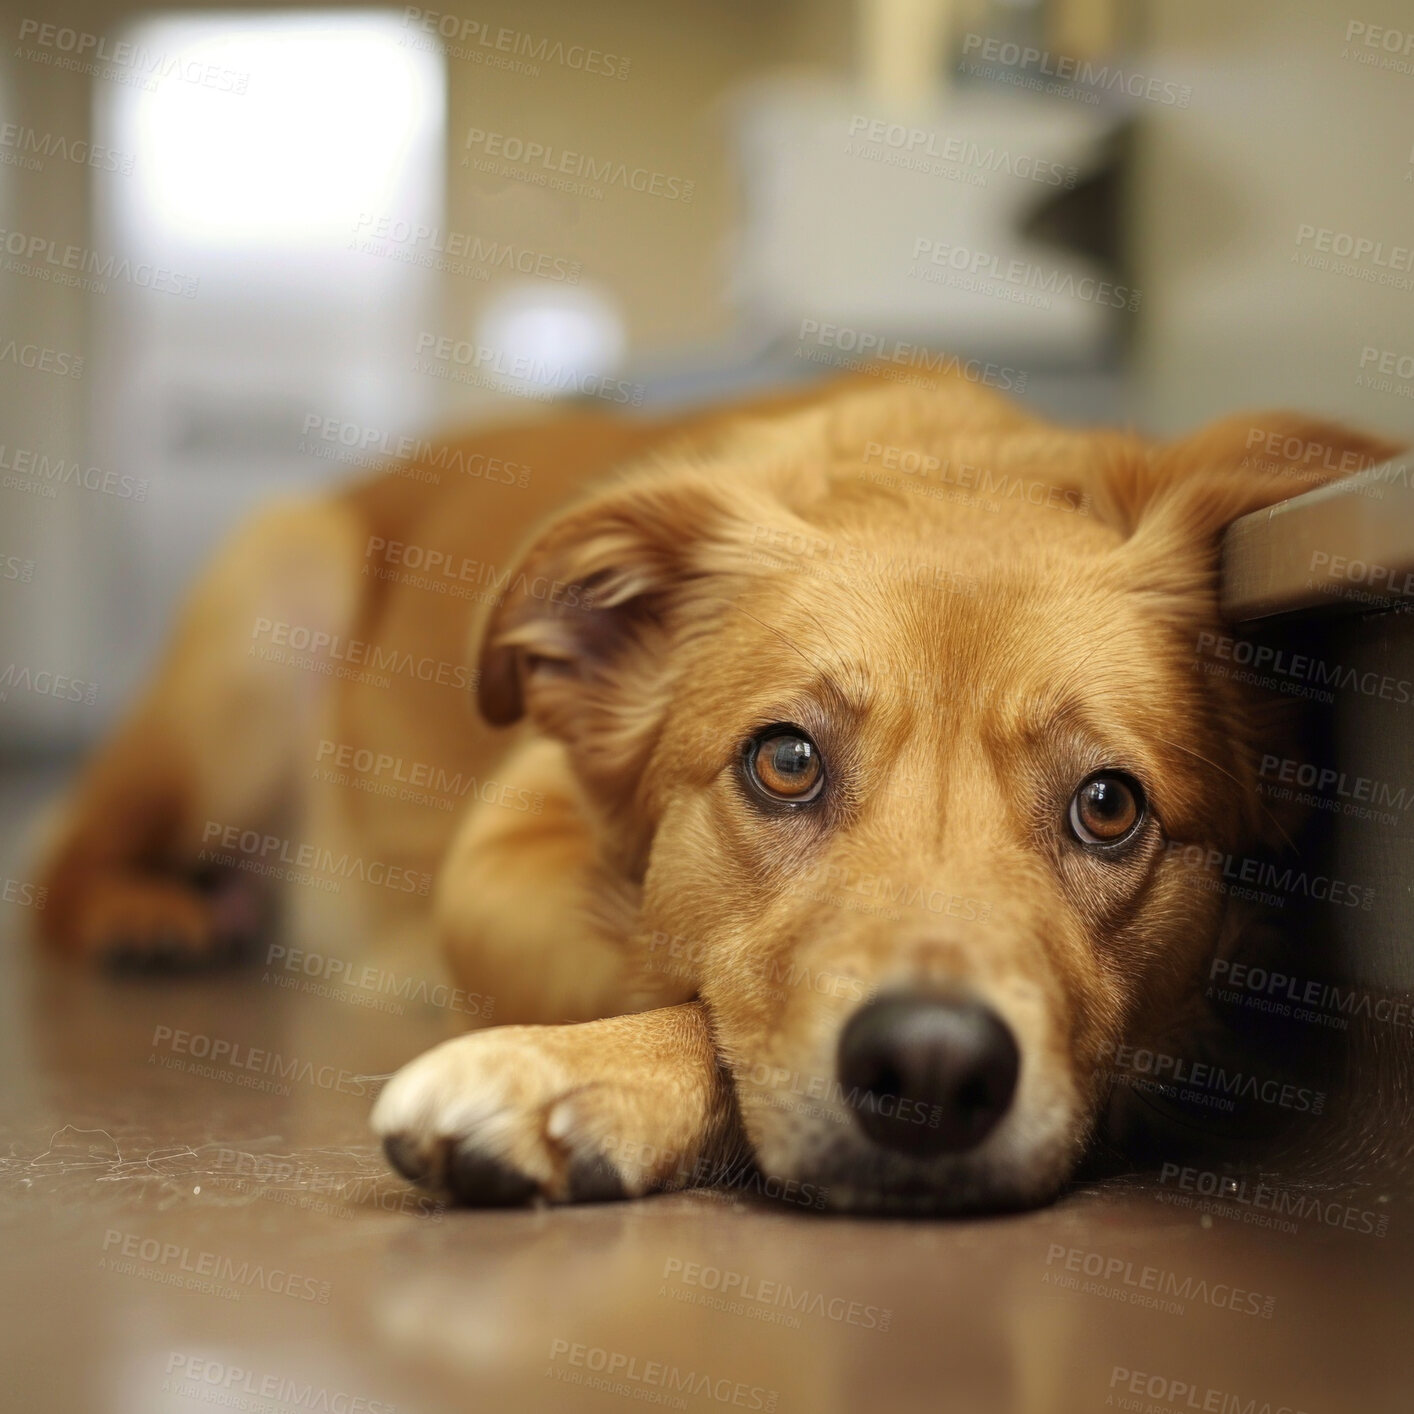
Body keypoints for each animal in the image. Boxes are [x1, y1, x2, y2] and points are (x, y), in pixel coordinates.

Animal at [35, 373, 1402, 1216]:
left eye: (1109, 806)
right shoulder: (498, 854)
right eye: (784, 762)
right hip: (271, 604)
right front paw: (577, 1067)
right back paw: (150, 919)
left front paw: (576, 1081)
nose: (931, 1066)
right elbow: (683, 979)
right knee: (55, 874)